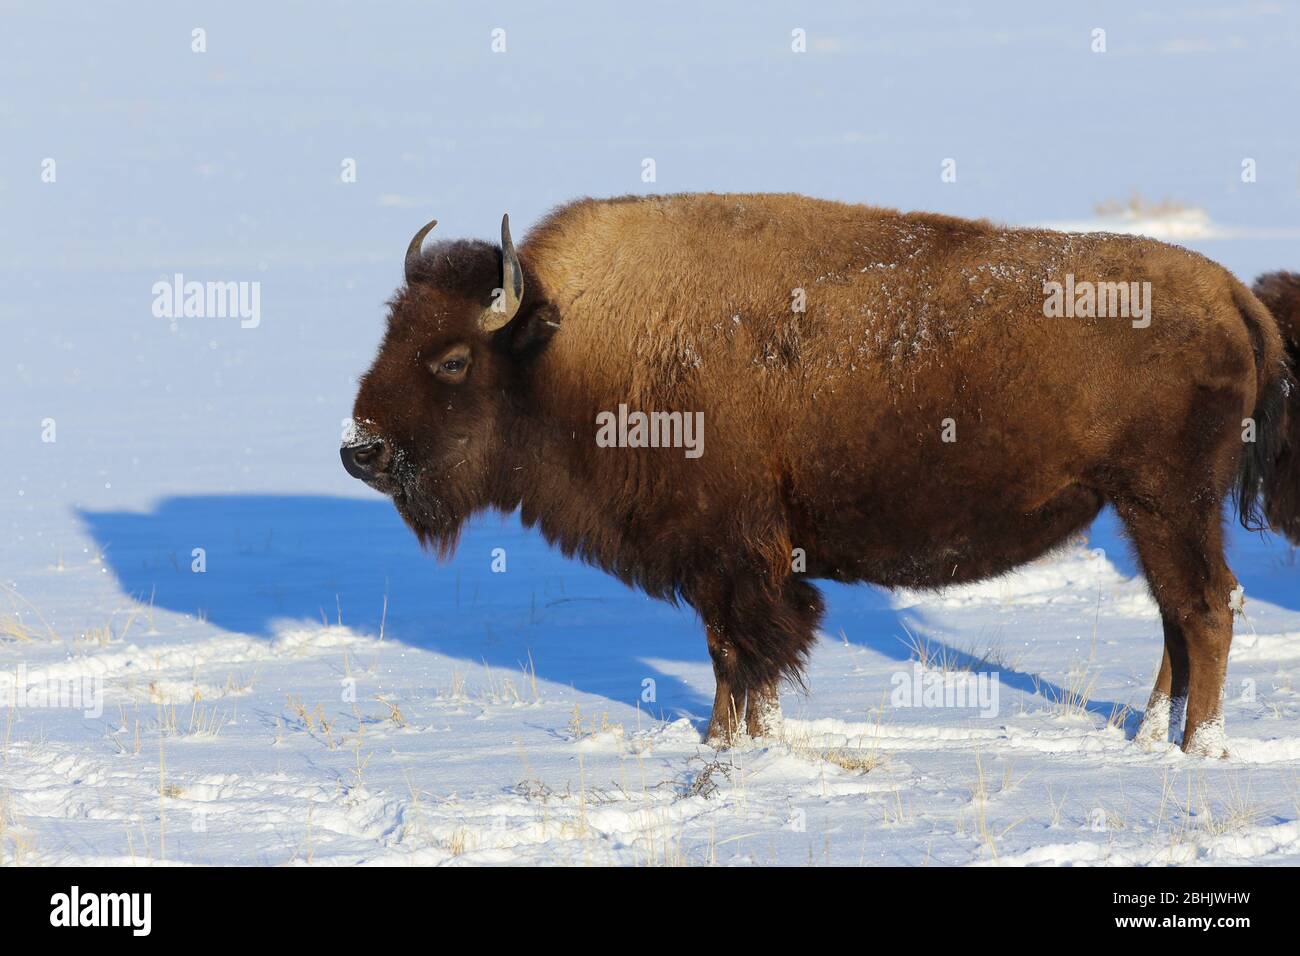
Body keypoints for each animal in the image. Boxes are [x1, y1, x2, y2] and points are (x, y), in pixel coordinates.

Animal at [338, 195, 1300, 759]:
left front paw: (721, 758)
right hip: (1148, 512)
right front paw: (739, 748)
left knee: (1206, 609)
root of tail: (1232, 297)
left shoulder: (733, 563)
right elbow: (743, 663)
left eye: (453, 359)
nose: (361, 449)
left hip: (1166, 503)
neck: (566, 343)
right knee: (1178, 617)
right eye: (391, 329)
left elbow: (739, 657)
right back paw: (1150, 737)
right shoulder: (741, 566)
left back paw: (1194, 750)